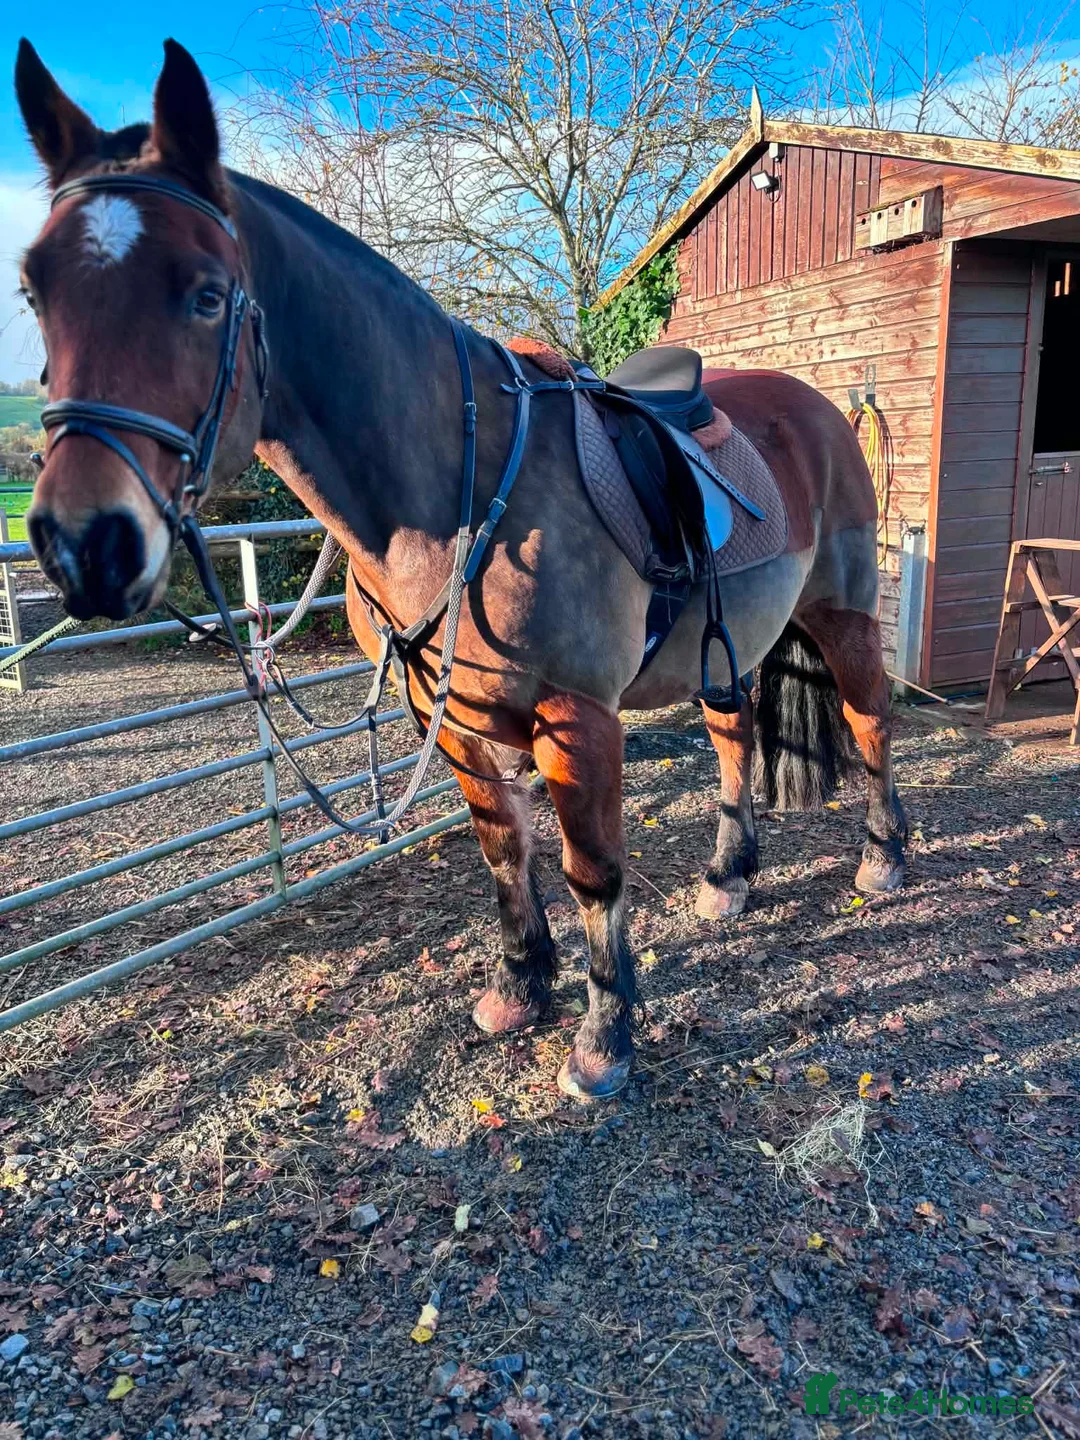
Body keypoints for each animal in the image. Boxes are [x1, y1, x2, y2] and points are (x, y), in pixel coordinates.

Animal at [14, 39, 907, 1101]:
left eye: (206, 293)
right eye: (35, 292)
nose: (85, 544)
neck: (454, 498)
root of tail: (821, 409)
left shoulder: (576, 719)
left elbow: (592, 870)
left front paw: (605, 1037)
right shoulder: (450, 719)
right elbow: (501, 852)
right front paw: (521, 986)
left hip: (844, 618)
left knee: (870, 721)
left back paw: (884, 861)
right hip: (727, 648)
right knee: (734, 741)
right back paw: (729, 879)